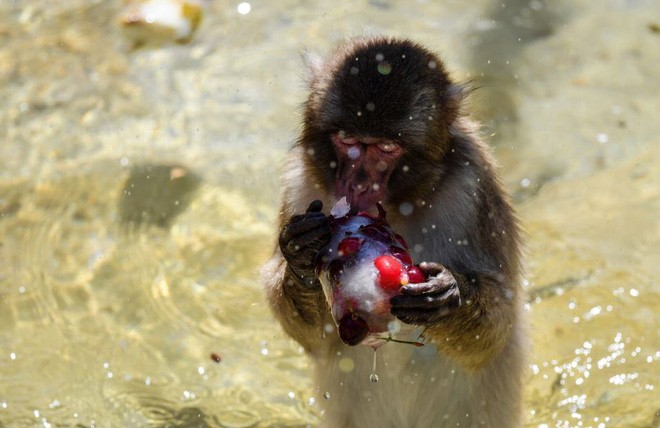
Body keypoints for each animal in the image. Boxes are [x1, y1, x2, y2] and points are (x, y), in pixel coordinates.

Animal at [260, 36, 524, 428]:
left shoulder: (475, 185)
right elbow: (313, 339)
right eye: (347, 139)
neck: (401, 205)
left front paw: (446, 294)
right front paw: (300, 254)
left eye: (386, 148)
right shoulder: (298, 185)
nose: (356, 184)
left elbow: (496, 330)